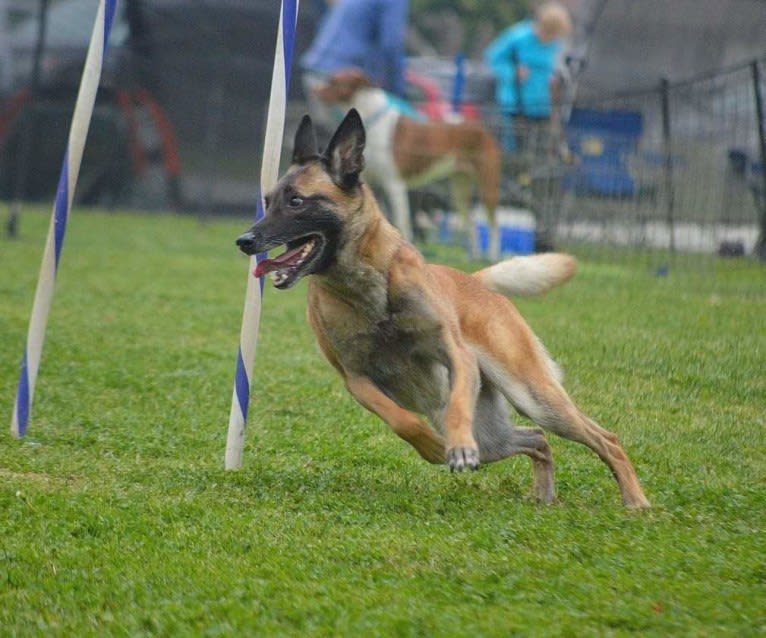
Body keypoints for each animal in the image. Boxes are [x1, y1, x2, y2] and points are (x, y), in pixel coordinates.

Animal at [237, 110, 652, 510]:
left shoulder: (457, 357)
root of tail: (477, 280)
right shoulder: (357, 381)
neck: (368, 290)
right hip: (495, 436)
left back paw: (636, 501)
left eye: (296, 201)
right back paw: (545, 495)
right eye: (268, 201)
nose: (244, 241)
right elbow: (401, 421)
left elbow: (456, 409)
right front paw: (435, 447)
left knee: (604, 438)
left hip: (536, 398)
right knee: (536, 439)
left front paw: (457, 446)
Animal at [312, 69, 504, 262]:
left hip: (487, 185)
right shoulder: (370, 184)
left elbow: (402, 221)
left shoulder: (395, 185)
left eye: (335, 81)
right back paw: (473, 257)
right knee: (471, 223)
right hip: (460, 188)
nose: (316, 88)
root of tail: (482, 127)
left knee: (494, 223)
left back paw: (493, 257)